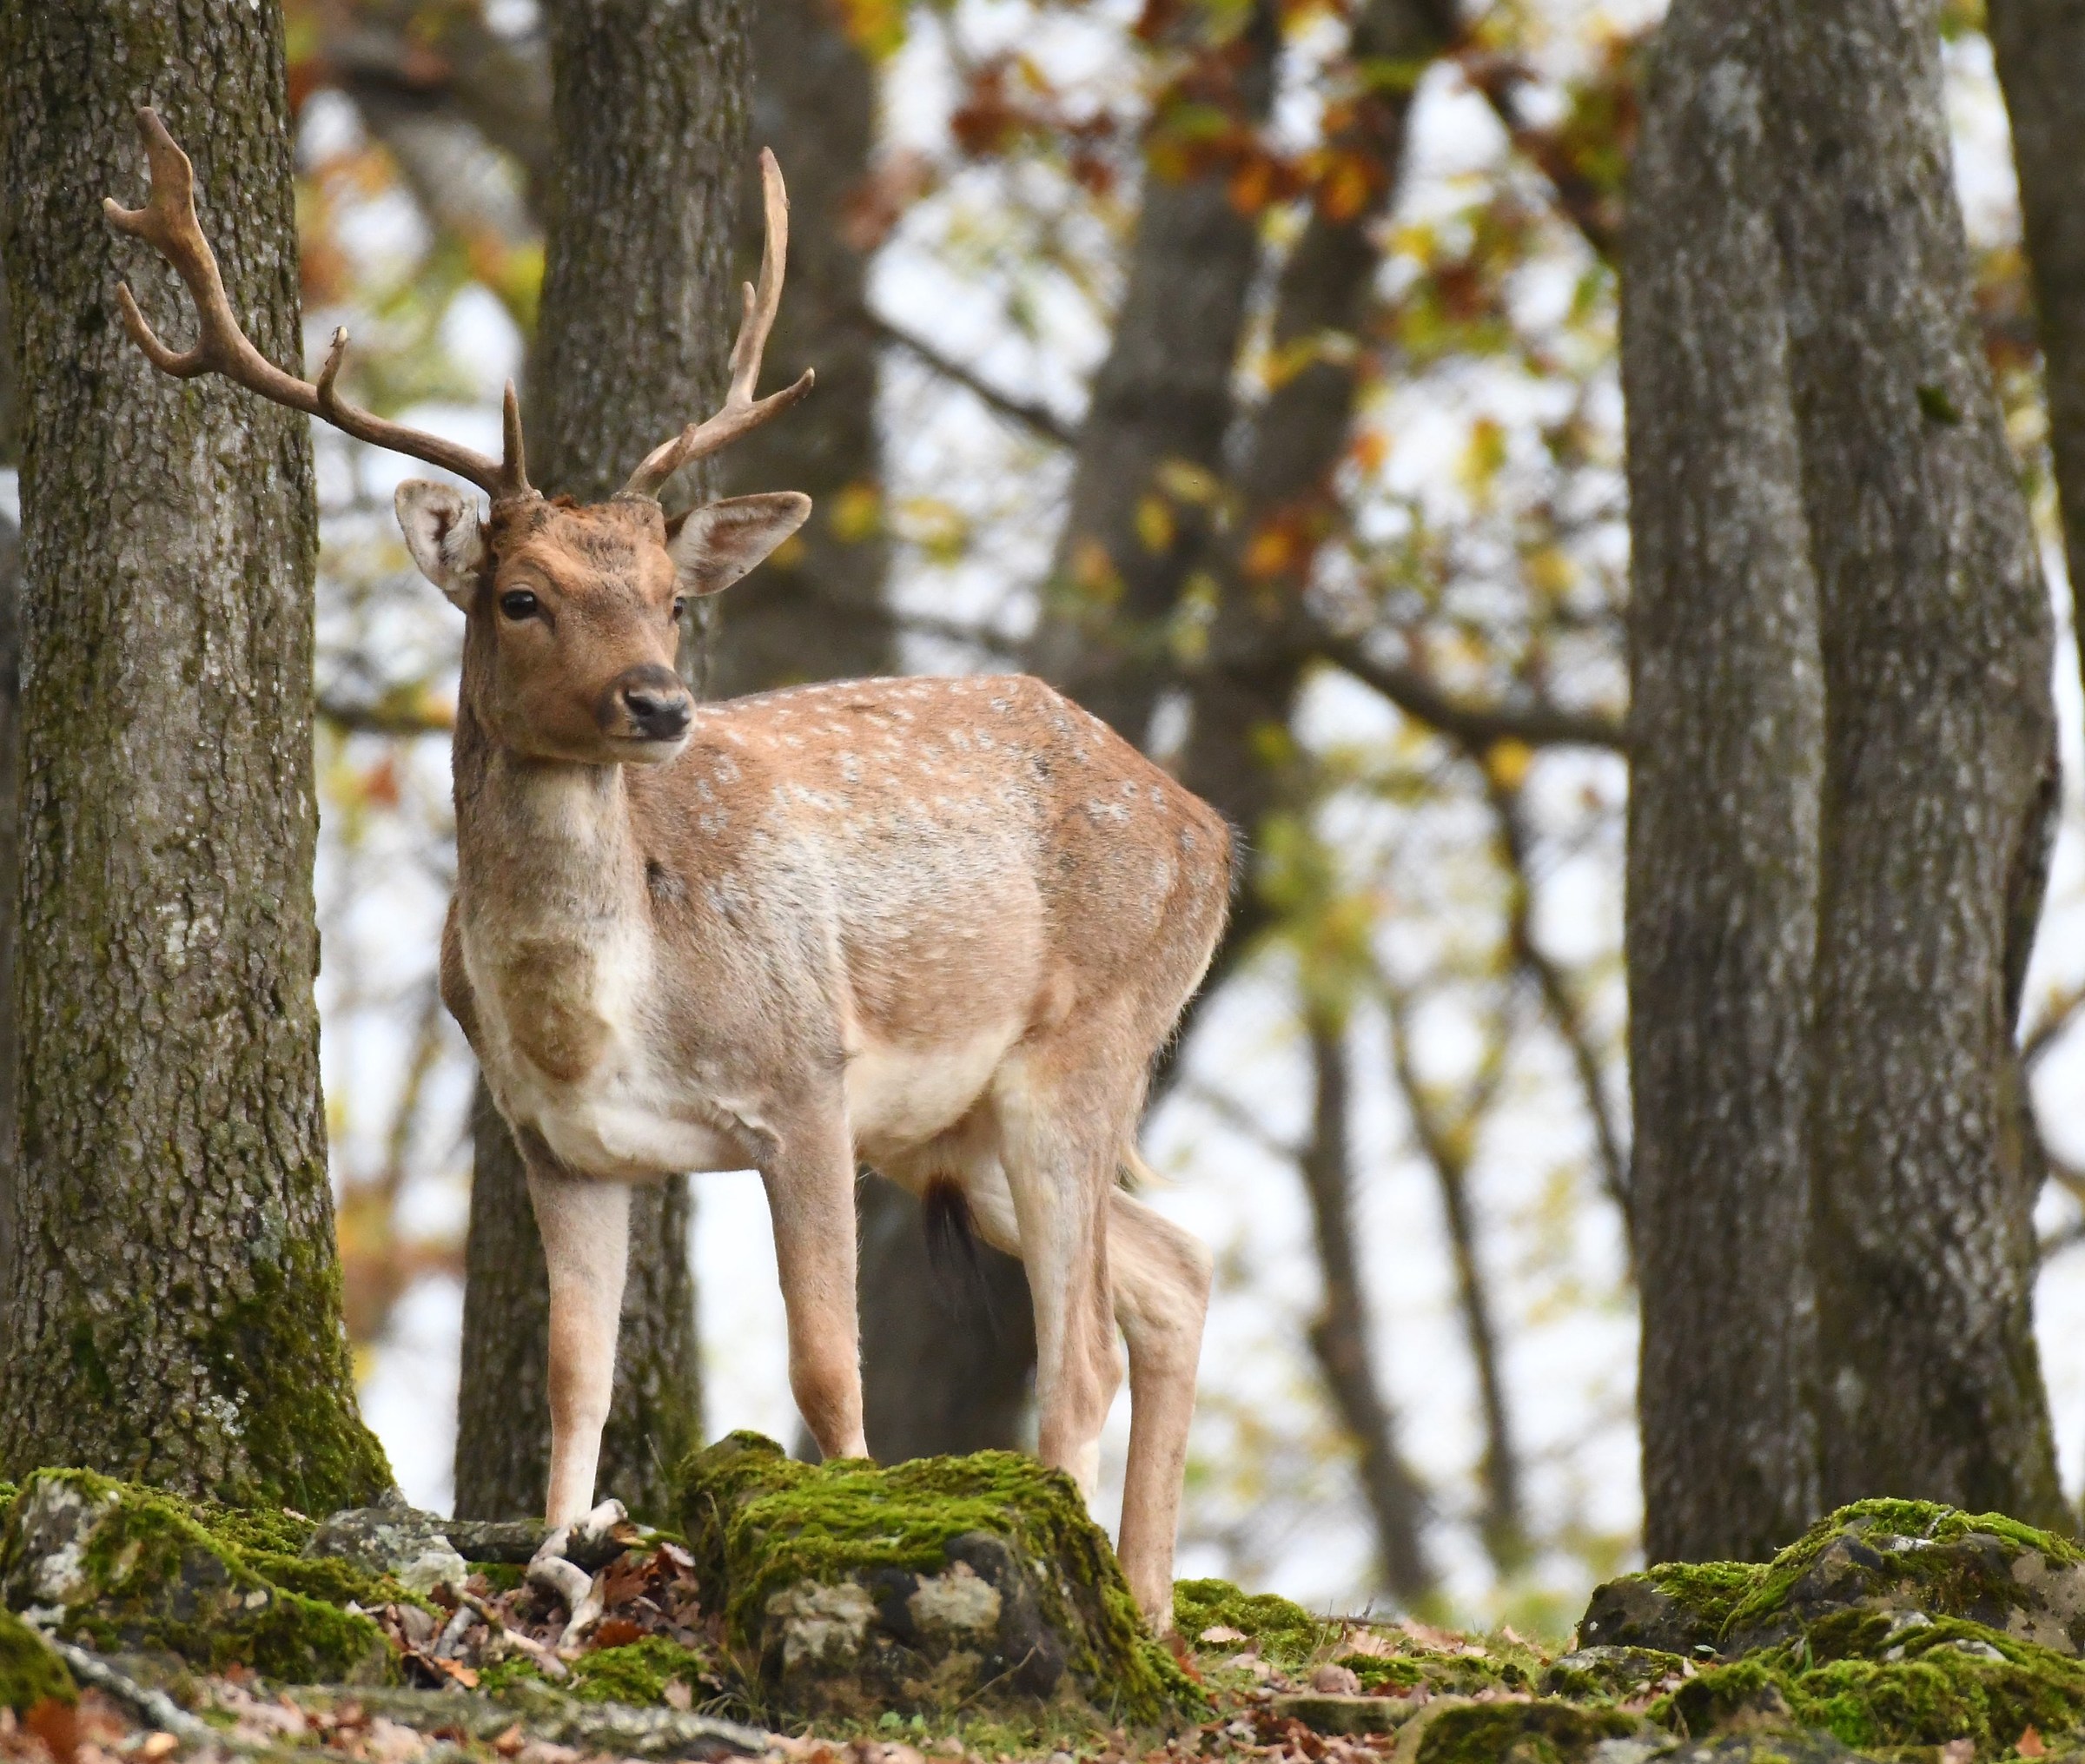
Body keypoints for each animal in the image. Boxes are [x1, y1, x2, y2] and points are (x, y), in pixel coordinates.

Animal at [105, 108, 1230, 1628]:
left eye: (670, 600)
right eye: (523, 597)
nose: (658, 700)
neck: (600, 1012)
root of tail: (1208, 829)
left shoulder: (804, 1075)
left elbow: (826, 1361)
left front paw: (851, 1520)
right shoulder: (557, 1141)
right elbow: (573, 1376)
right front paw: (558, 1557)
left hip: (1091, 1032)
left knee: (1089, 1344)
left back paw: (1107, 1589)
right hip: (959, 1125)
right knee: (1172, 1271)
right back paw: (1154, 1611)